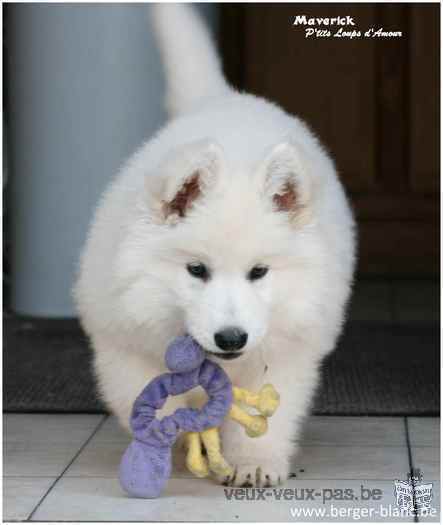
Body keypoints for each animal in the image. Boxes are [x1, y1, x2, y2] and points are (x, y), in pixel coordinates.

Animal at [73, 4, 358, 488]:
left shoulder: (288, 346)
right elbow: (150, 400)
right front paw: (169, 446)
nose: (231, 337)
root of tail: (224, 98)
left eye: (259, 272)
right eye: (196, 270)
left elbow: (270, 412)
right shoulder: (124, 343)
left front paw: (254, 462)